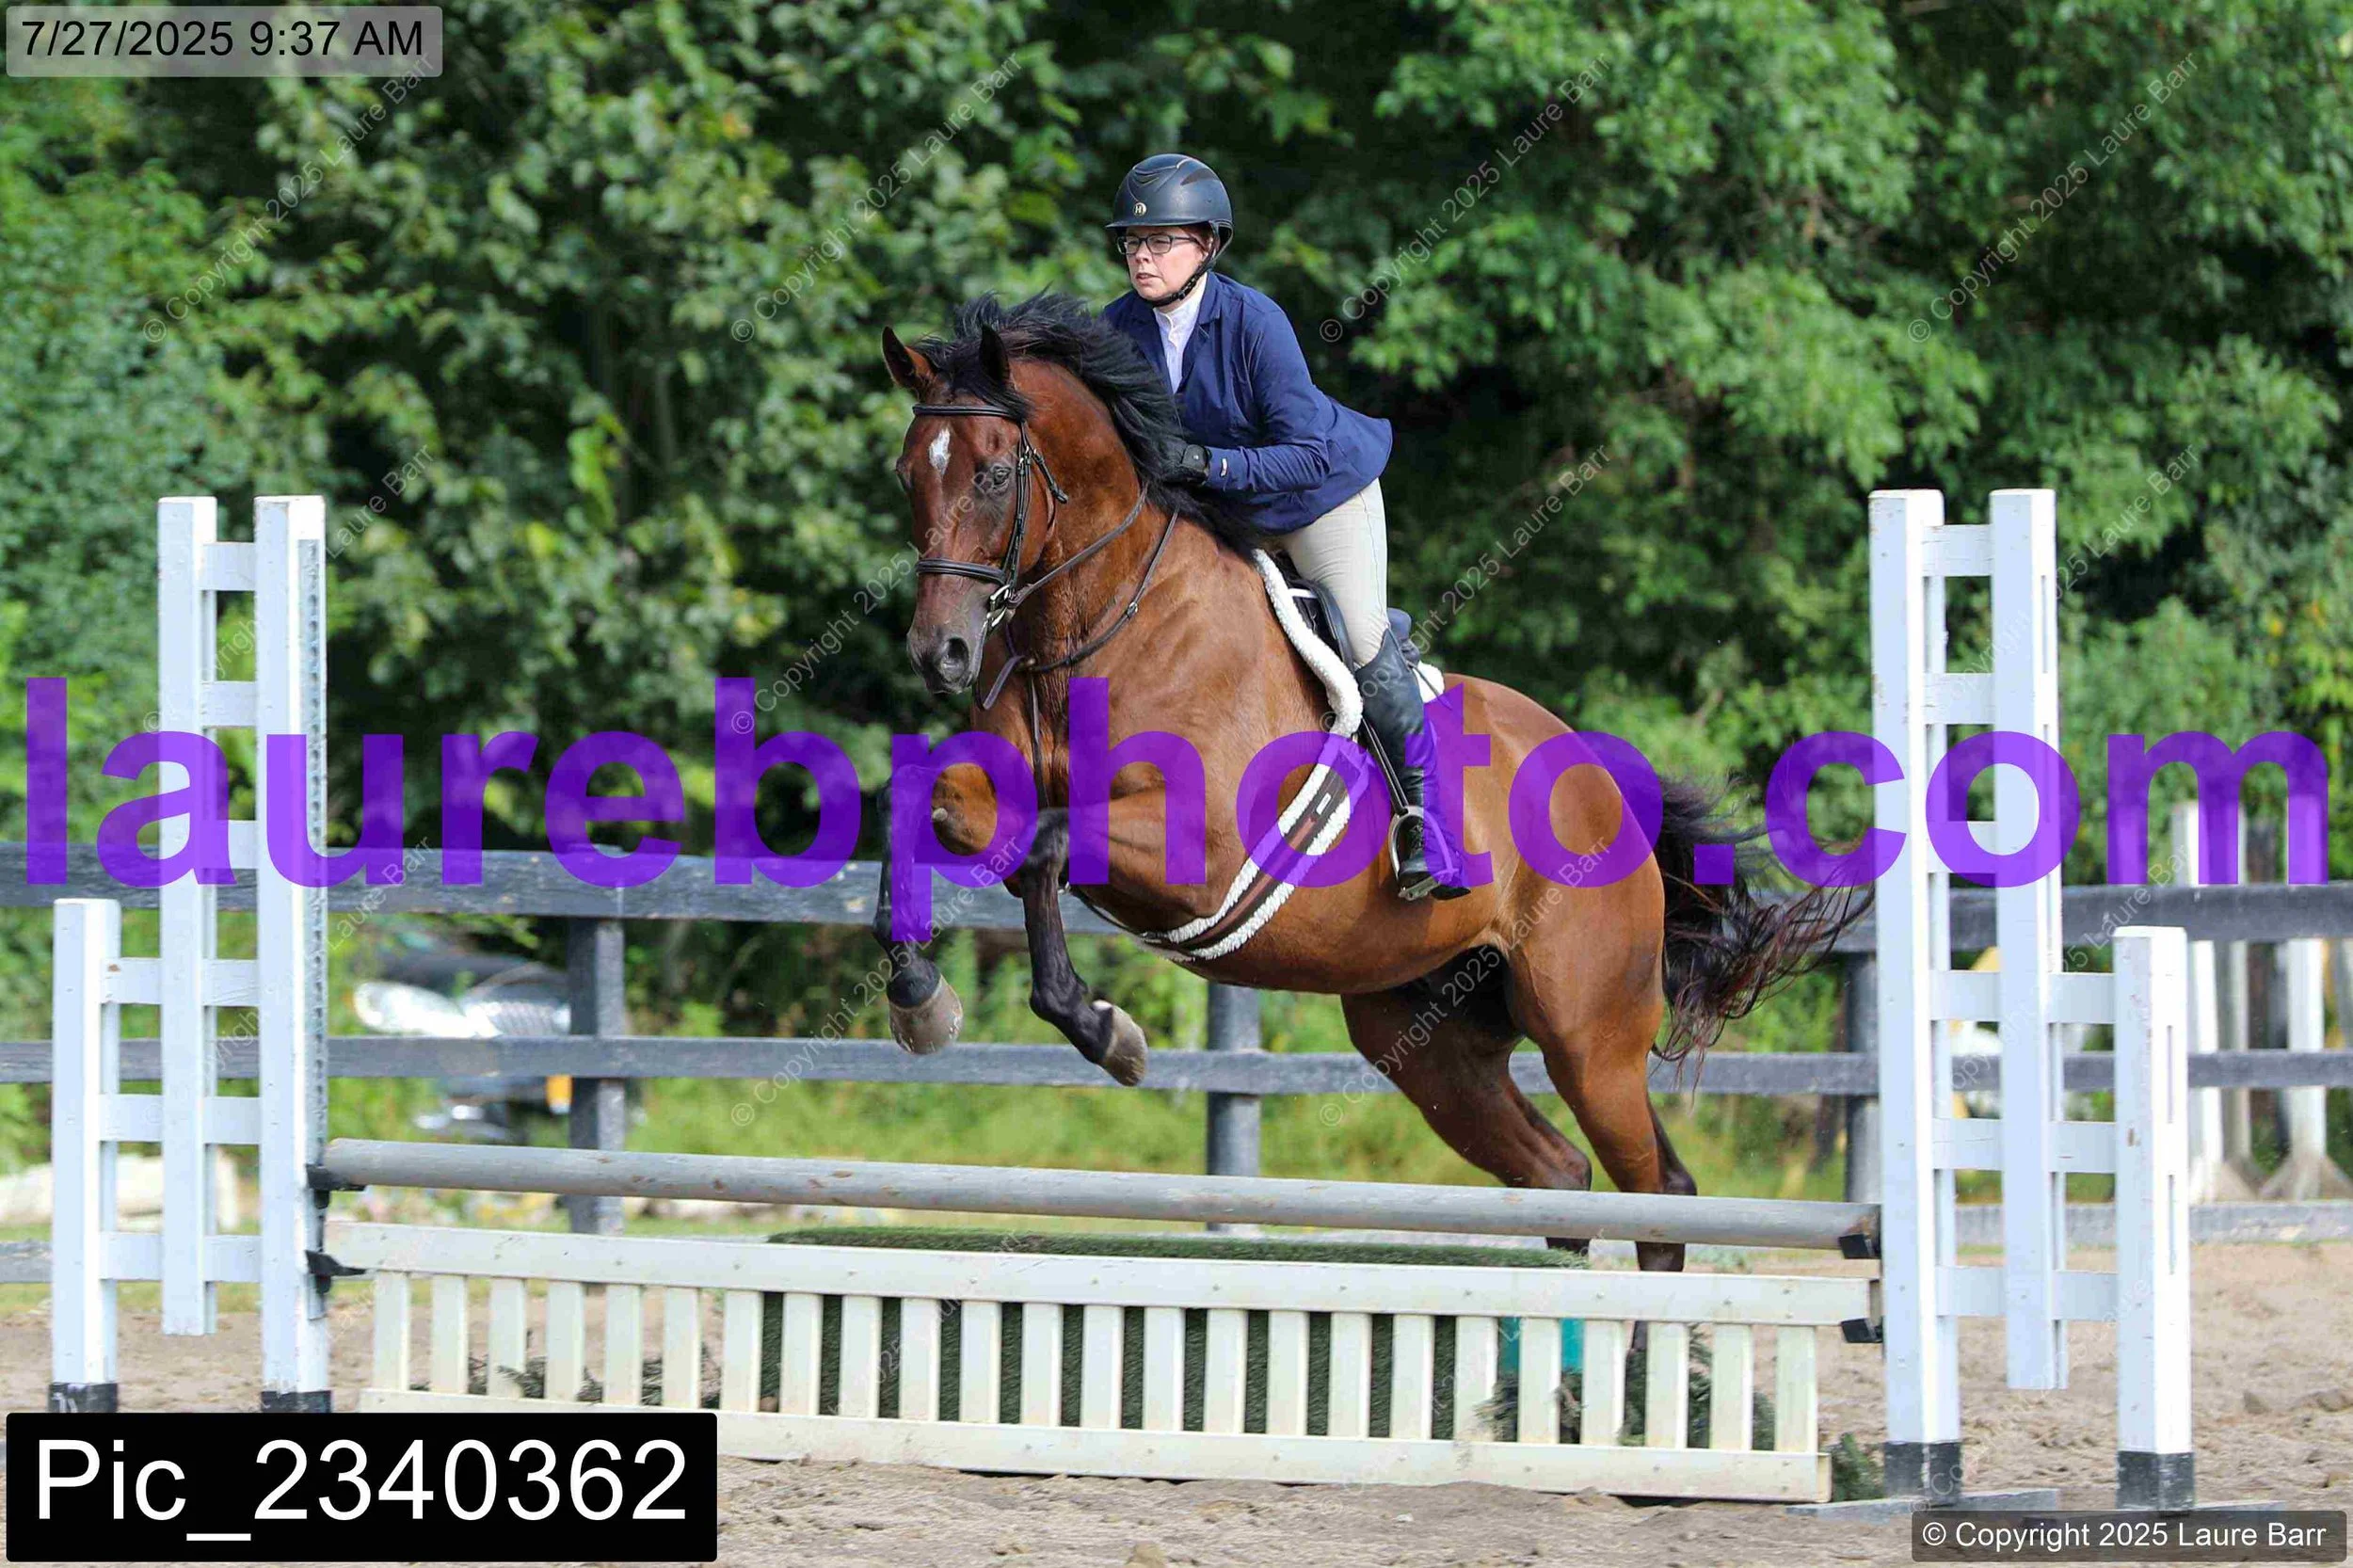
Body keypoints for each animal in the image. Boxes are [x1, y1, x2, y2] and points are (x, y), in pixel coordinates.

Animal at [870, 291, 1856, 1270]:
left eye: (996, 475)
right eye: (908, 476)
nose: (939, 653)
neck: (1095, 626)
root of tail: (1608, 788)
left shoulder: (1200, 849)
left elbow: (1045, 846)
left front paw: (1107, 1033)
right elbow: (933, 805)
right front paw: (922, 1003)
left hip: (1590, 1036)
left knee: (1659, 1192)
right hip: (1426, 1038)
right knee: (1560, 1173)